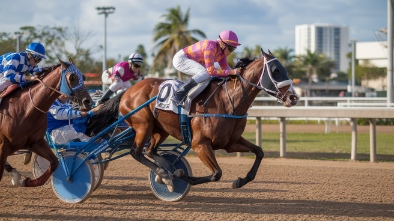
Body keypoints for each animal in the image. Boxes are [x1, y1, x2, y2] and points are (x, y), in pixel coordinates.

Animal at [0, 59, 92, 187]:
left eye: (83, 77)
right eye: (72, 77)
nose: (88, 102)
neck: (26, 109)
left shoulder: (36, 142)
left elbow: (54, 162)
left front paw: (28, 181)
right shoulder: (3, 146)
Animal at [117, 49, 298, 190]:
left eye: (285, 69)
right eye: (276, 71)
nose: (294, 97)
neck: (228, 102)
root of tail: (128, 92)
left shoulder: (230, 142)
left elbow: (259, 152)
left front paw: (240, 181)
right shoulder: (200, 144)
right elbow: (216, 173)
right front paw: (181, 175)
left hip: (160, 129)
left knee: (150, 151)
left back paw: (166, 170)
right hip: (143, 125)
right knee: (136, 152)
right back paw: (165, 174)